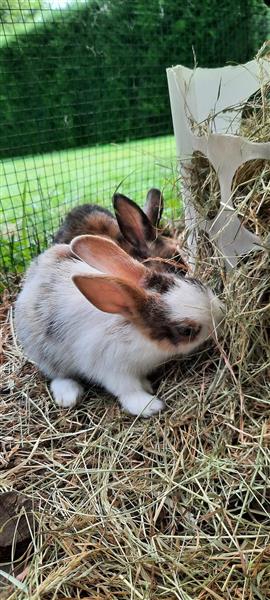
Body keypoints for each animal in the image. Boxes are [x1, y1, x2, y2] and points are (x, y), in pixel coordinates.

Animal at [14, 233, 224, 418]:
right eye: (186, 331)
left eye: (192, 281)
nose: (221, 315)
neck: (135, 330)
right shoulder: (112, 368)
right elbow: (128, 390)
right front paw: (149, 406)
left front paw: (146, 384)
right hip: (46, 354)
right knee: (56, 374)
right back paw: (68, 395)